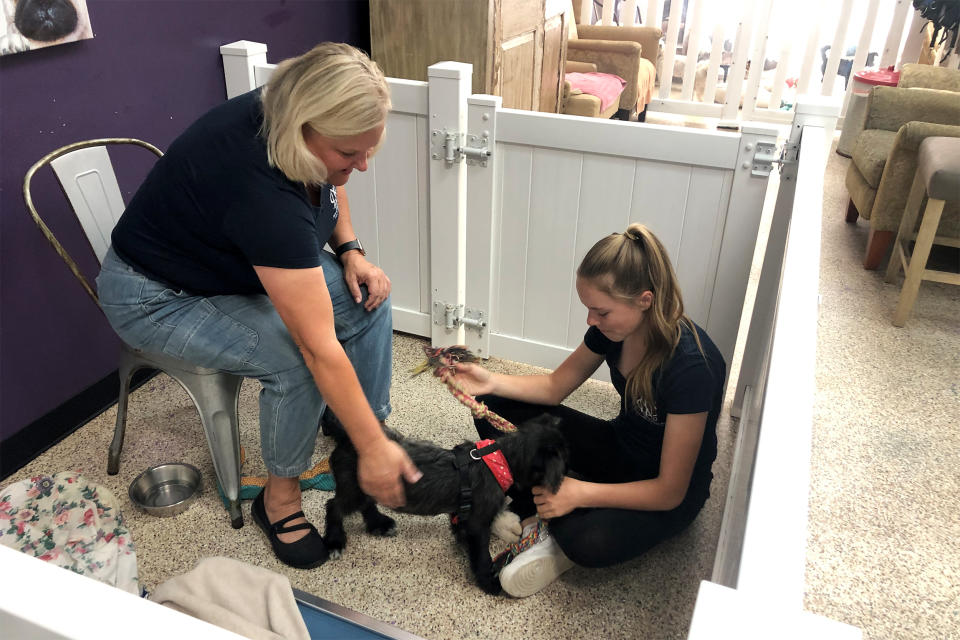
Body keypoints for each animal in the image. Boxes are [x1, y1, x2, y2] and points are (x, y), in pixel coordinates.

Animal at [324, 416, 564, 596]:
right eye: (566, 461)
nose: (568, 479)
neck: (501, 460)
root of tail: (347, 439)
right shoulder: (478, 523)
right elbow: (482, 554)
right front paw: (488, 580)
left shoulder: (463, 513)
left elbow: (462, 531)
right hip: (352, 491)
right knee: (334, 506)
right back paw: (335, 540)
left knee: (365, 504)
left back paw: (378, 524)